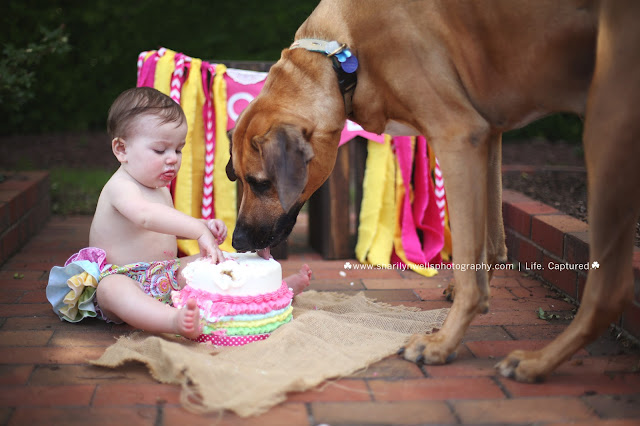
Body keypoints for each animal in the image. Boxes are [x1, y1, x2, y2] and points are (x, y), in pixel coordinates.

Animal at [226, 0, 640, 382]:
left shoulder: (458, 137)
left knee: (610, 290)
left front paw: (444, 342)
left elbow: (469, 269)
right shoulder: (489, 135)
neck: (340, 56)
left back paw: (537, 362)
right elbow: (490, 242)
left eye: (260, 183)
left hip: (605, 128)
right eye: (238, 178)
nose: (238, 240)